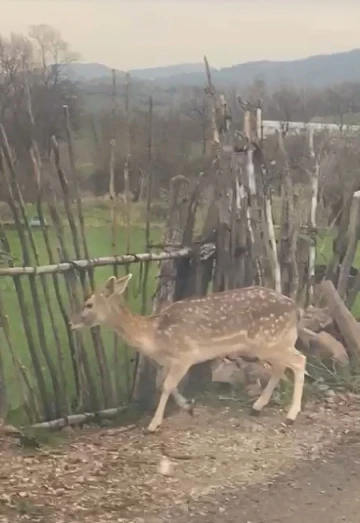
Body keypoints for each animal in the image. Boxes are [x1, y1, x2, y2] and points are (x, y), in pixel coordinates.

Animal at [69, 274, 306, 434]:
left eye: (88, 303)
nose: (71, 322)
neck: (154, 336)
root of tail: (295, 308)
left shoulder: (186, 355)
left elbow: (166, 385)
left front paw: (153, 425)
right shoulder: (169, 361)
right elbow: (163, 383)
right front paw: (188, 406)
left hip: (270, 340)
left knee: (299, 360)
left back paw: (291, 416)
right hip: (270, 343)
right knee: (281, 366)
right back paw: (257, 406)